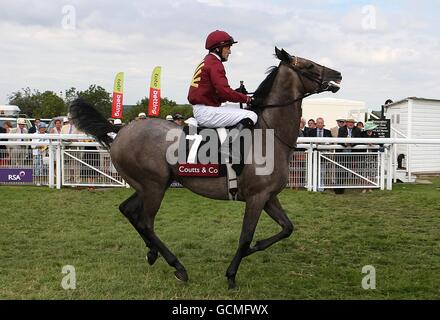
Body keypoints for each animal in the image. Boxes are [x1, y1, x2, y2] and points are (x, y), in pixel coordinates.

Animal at [69, 48, 344, 290]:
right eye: (308, 65)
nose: (338, 74)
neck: (270, 134)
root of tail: (120, 130)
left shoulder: (269, 197)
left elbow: (287, 228)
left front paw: (255, 247)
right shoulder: (257, 197)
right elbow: (245, 236)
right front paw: (232, 274)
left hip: (148, 186)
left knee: (128, 210)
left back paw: (152, 253)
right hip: (154, 186)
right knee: (146, 222)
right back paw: (178, 267)